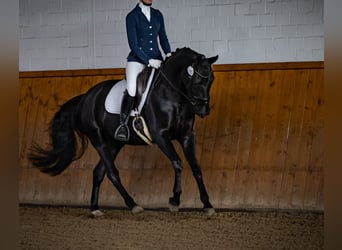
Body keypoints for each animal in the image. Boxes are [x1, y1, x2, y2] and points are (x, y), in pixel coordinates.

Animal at [30, 47, 220, 216]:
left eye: (211, 79)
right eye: (196, 80)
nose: (203, 110)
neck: (172, 96)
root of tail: (85, 98)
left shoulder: (187, 136)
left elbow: (196, 167)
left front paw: (207, 204)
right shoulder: (160, 137)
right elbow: (178, 163)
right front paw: (175, 200)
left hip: (114, 143)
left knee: (98, 172)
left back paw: (95, 208)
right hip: (98, 140)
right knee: (112, 173)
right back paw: (133, 204)